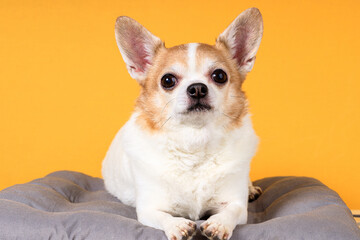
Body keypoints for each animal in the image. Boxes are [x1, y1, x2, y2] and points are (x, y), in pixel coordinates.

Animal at [102, 7, 262, 240]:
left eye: (220, 76)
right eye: (167, 80)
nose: (197, 88)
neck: (194, 140)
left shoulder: (235, 204)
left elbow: (231, 212)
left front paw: (218, 224)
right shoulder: (148, 209)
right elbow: (163, 217)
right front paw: (177, 225)